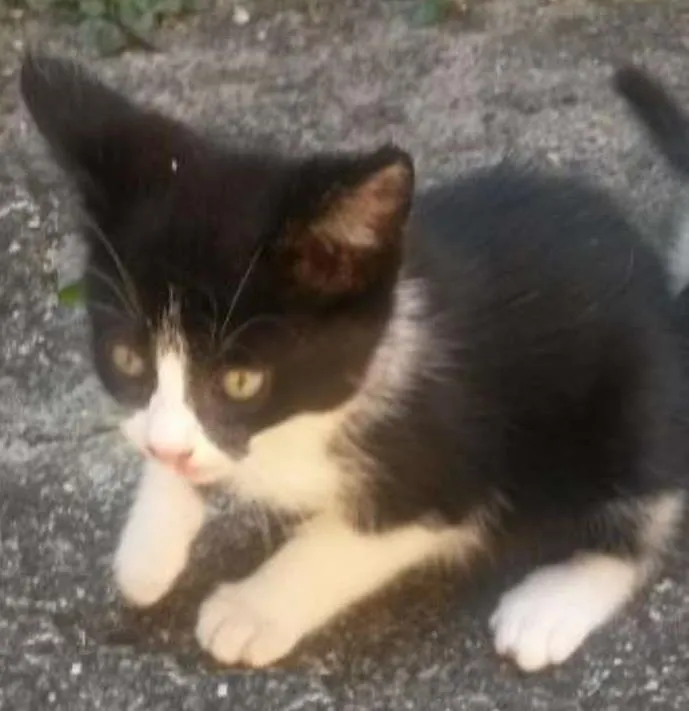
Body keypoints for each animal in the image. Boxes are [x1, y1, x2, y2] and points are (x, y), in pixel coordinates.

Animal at [20, 54, 688, 672]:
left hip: (629, 410)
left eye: (241, 381)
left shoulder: (453, 462)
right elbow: (180, 450)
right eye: (127, 358)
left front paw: (251, 609)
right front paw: (148, 549)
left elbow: (342, 541)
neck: (307, 420)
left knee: (644, 509)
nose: (169, 449)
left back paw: (552, 602)